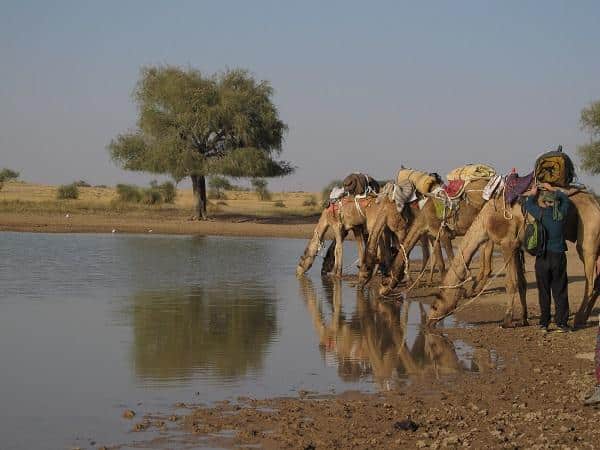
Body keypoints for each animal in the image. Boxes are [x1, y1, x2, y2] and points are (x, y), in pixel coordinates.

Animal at [366, 178, 496, 298]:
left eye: (385, 280)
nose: (380, 291)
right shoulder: (433, 236)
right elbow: (441, 263)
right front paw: (444, 286)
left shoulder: (443, 233)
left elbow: (451, 261)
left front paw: (458, 288)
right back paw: (474, 290)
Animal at [426, 188, 600, 328]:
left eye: (435, 305)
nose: (428, 322)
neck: (485, 220)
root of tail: (596, 203)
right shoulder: (516, 247)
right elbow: (522, 283)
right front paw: (524, 319)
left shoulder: (507, 244)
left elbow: (510, 283)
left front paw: (507, 321)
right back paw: (583, 318)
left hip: (588, 233)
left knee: (590, 278)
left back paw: (578, 319)